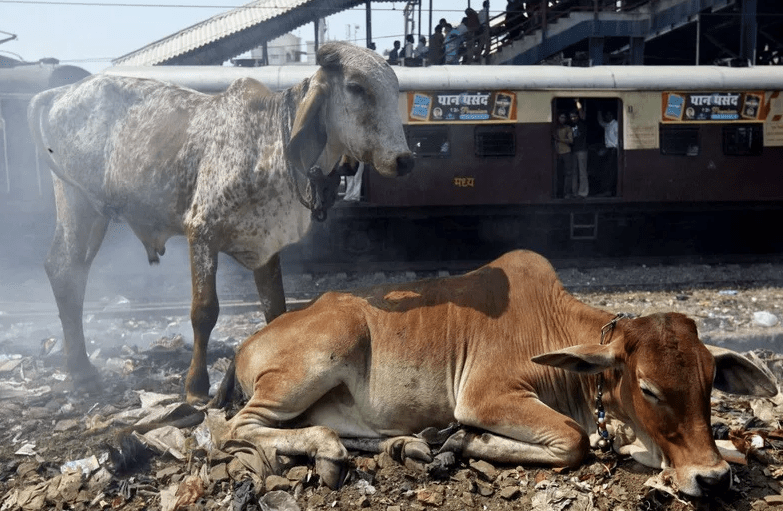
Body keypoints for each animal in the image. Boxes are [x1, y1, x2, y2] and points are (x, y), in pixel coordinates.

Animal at [27, 42, 414, 402]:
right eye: (355, 87)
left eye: (395, 87)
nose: (404, 159)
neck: (270, 142)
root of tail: (59, 93)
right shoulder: (201, 233)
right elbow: (205, 312)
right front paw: (196, 386)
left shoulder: (267, 244)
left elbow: (276, 311)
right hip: (76, 201)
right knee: (64, 269)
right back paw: (82, 372)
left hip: (90, 211)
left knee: (70, 271)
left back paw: (77, 366)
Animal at [227, 250, 776, 498]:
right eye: (648, 388)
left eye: (708, 383)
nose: (712, 478)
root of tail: (247, 343)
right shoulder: (485, 396)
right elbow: (573, 440)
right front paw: (463, 440)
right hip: (316, 361)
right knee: (236, 428)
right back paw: (329, 450)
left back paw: (409, 444)